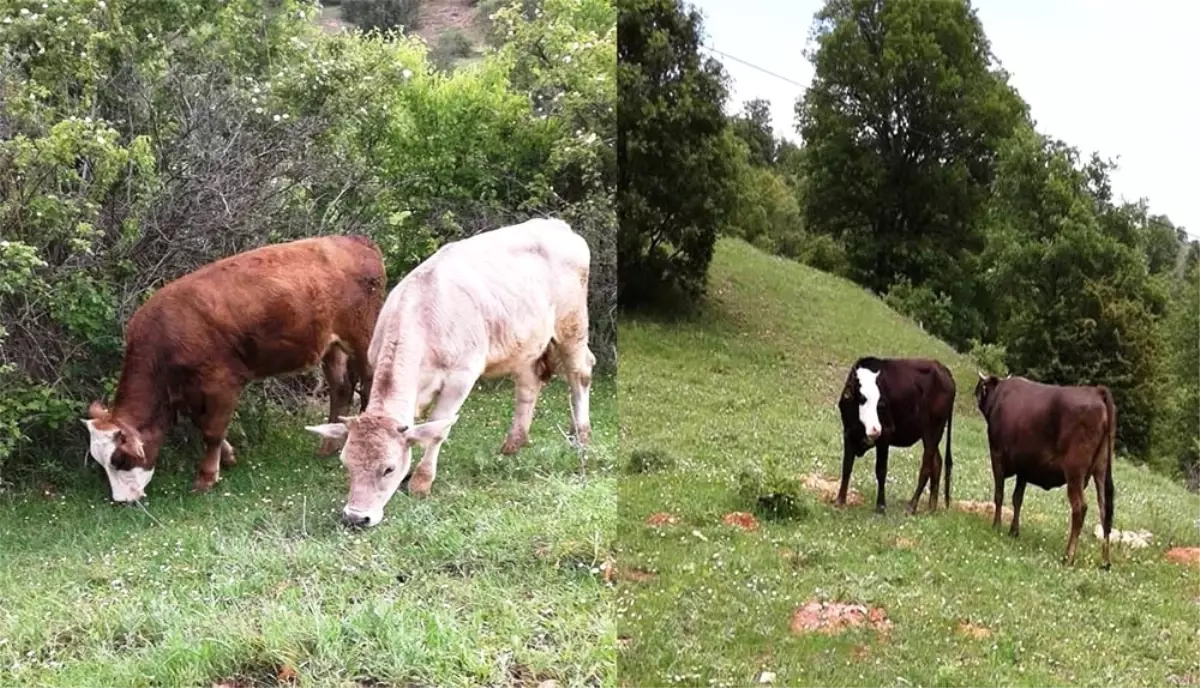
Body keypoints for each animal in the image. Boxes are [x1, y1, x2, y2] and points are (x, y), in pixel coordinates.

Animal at [83, 235, 384, 499]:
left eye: (120, 459)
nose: (122, 500)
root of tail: (355, 240)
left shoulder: (222, 383)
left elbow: (212, 431)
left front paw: (206, 477)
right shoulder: (189, 392)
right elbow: (200, 423)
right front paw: (227, 457)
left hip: (362, 337)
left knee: (370, 381)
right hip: (331, 345)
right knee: (341, 387)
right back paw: (328, 446)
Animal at [304, 217, 595, 528]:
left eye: (388, 469)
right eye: (346, 463)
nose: (356, 517)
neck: (422, 316)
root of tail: (556, 224)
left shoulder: (461, 378)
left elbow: (438, 428)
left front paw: (420, 482)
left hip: (572, 325)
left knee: (580, 372)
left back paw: (582, 436)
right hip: (526, 342)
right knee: (529, 384)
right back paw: (512, 445)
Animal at [835, 357, 955, 511]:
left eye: (880, 401)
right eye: (862, 397)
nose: (875, 429)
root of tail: (943, 369)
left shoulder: (885, 434)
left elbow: (881, 470)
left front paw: (880, 506)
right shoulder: (848, 433)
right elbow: (847, 466)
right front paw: (840, 500)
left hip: (933, 431)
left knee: (927, 466)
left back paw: (912, 506)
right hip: (929, 435)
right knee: (937, 463)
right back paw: (931, 508)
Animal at [974, 372, 1113, 566]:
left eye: (980, 387)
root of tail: (1096, 391)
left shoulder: (997, 456)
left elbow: (999, 494)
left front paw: (997, 525)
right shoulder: (1024, 469)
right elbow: (1017, 498)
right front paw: (1014, 531)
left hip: (1074, 472)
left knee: (1080, 508)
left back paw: (1068, 556)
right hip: (1101, 469)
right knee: (1105, 509)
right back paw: (1105, 561)